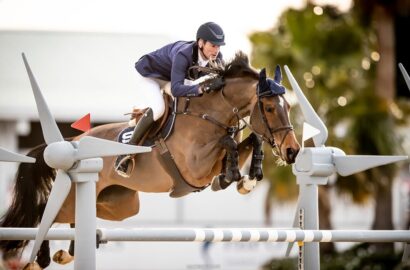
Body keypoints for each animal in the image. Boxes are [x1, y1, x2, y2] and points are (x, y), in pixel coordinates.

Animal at [0, 51, 302, 268]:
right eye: (270, 108)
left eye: (288, 105)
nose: (292, 151)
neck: (210, 113)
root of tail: (72, 143)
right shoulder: (195, 167)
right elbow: (227, 144)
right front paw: (232, 178)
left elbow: (251, 141)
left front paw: (245, 180)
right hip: (78, 191)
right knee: (46, 211)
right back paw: (40, 258)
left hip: (120, 204)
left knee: (78, 218)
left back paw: (68, 252)